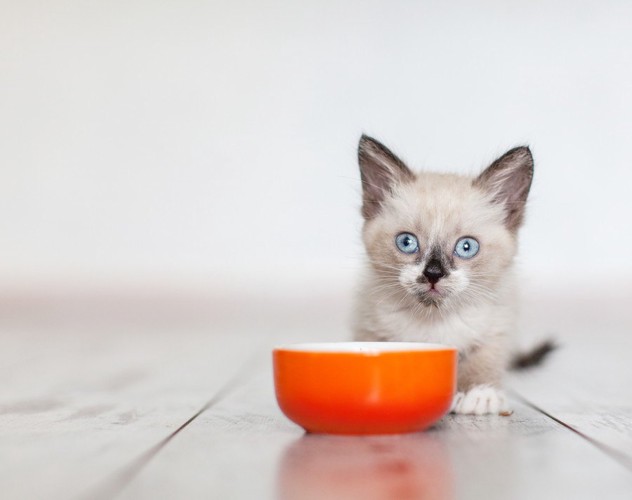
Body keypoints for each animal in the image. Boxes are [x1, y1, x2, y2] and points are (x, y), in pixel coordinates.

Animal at [354, 135, 536, 416]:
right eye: (407, 242)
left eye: (466, 247)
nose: (433, 273)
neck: (435, 320)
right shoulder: (369, 328)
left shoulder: (496, 328)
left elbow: (483, 360)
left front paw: (478, 394)